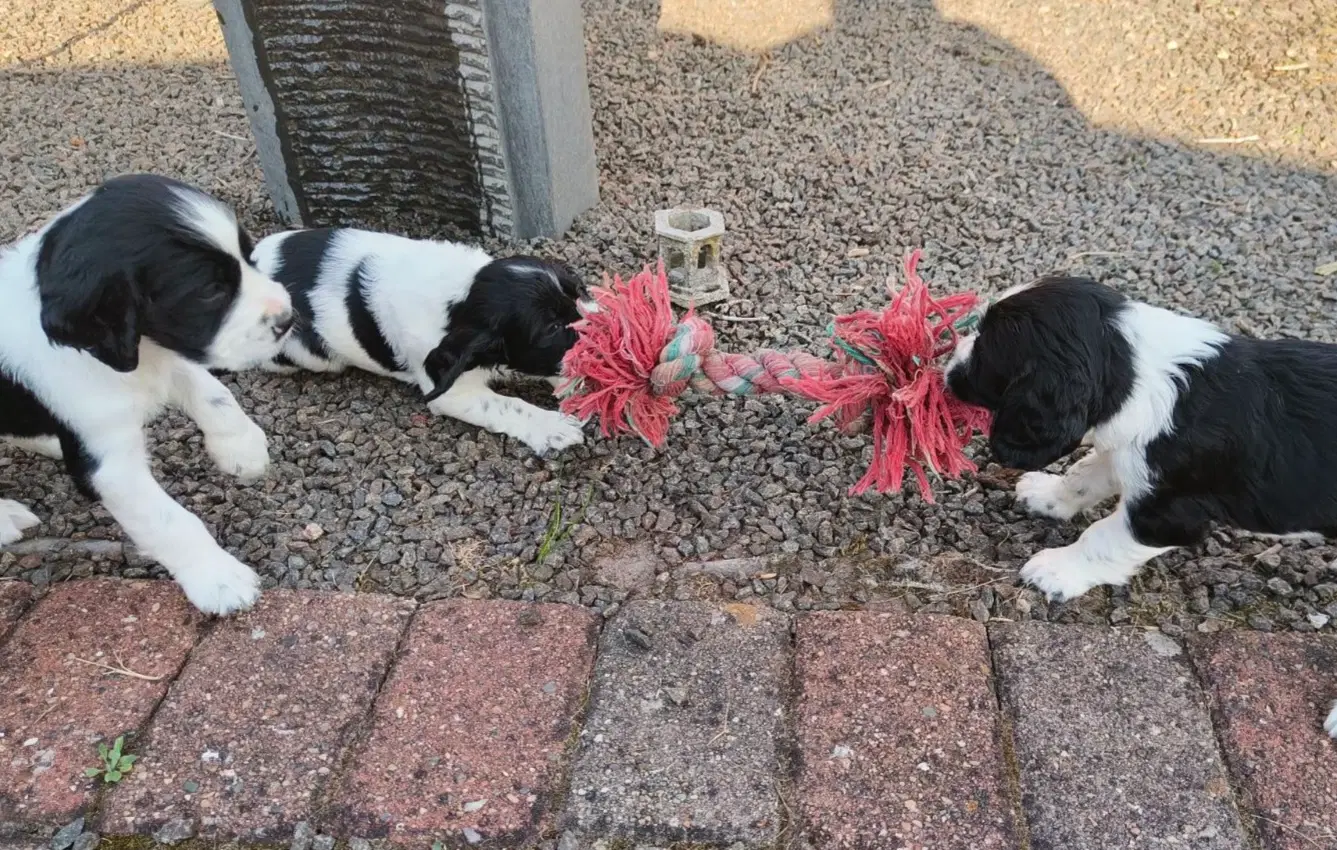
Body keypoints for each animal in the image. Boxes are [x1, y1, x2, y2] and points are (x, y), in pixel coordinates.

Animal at [0, 173, 294, 617]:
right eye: (210, 290)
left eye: (250, 257)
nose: (288, 318)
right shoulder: (111, 462)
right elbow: (169, 521)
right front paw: (219, 579)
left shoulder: (166, 351)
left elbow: (213, 391)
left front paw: (240, 447)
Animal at [254, 224, 596, 451]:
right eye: (551, 328)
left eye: (579, 291)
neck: (459, 299)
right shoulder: (449, 390)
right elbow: (507, 405)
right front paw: (552, 425)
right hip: (308, 356)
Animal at [946, 279, 1337, 737]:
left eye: (987, 348)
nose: (946, 367)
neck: (1136, 368)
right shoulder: (1126, 454)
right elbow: (1085, 473)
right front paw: (1047, 495)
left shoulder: (1166, 514)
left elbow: (1101, 537)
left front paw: (1056, 571)